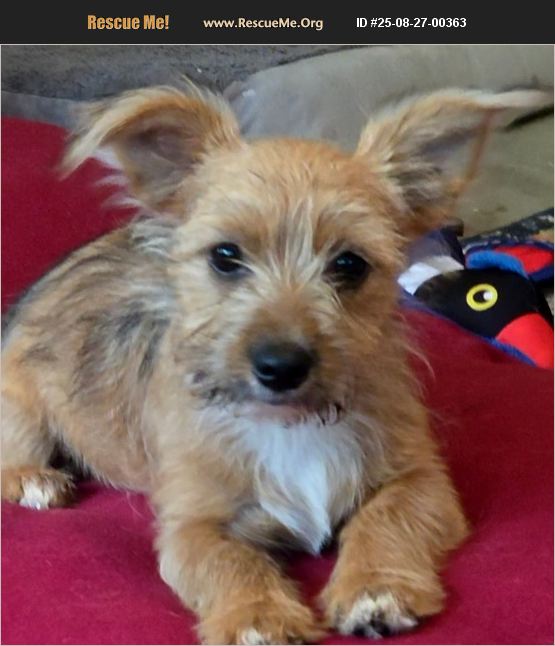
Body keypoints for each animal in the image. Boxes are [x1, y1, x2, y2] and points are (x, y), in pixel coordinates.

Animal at [2, 85, 547, 644]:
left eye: (350, 264)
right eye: (225, 256)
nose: (281, 366)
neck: (290, 424)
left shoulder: (422, 479)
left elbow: (387, 519)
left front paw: (375, 587)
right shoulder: (190, 526)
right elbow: (228, 561)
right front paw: (257, 616)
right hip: (19, 404)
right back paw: (35, 479)